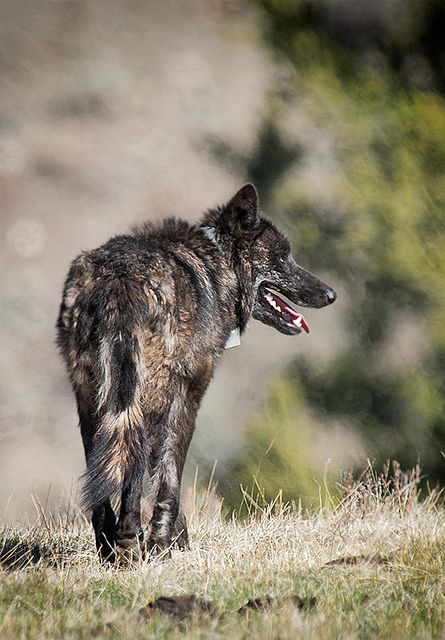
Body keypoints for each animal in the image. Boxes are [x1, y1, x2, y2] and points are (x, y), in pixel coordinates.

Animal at [56, 184, 332, 560]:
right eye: (282, 258)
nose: (331, 294)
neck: (217, 262)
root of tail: (119, 278)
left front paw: (173, 541)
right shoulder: (186, 397)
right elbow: (169, 478)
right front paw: (163, 544)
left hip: (93, 400)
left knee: (102, 472)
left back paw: (109, 550)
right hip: (141, 398)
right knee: (133, 465)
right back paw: (128, 543)